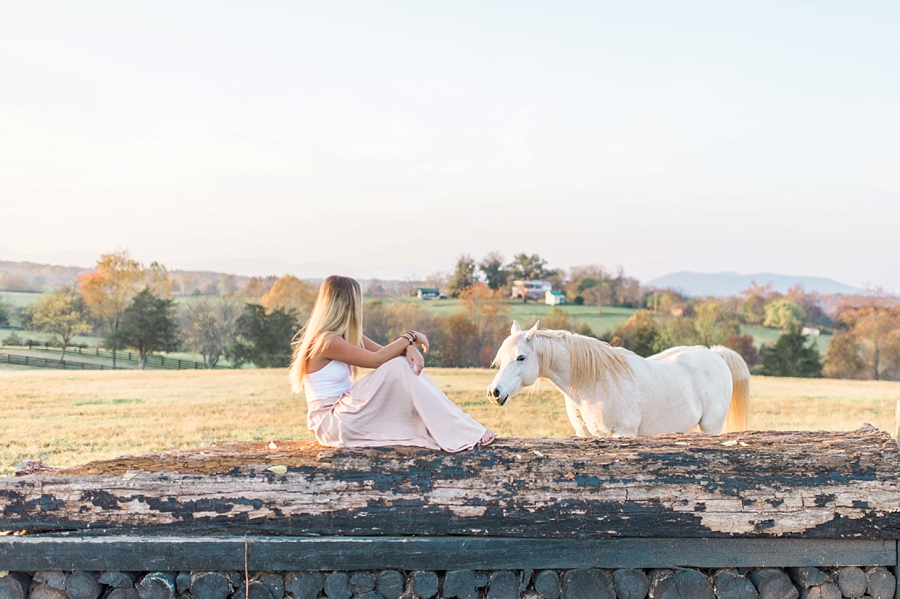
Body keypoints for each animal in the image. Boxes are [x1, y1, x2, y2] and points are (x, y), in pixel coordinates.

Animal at [488, 322, 748, 438]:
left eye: (521, 357)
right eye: (501, 358)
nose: (494, 392)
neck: (592, 385)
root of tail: (715, 354)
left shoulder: (622, 434)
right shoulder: (584, 435)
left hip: (711, 427)